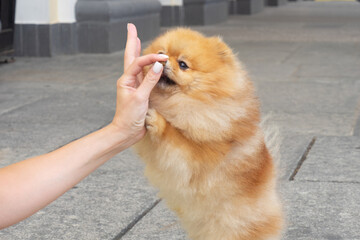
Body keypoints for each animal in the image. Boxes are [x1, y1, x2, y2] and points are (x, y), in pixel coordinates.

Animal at [134, 28, 282, 240]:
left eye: (183, 64)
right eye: (161, 53)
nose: (163, 60)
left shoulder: (202, 155)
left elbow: (177, 139)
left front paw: (159, 121)